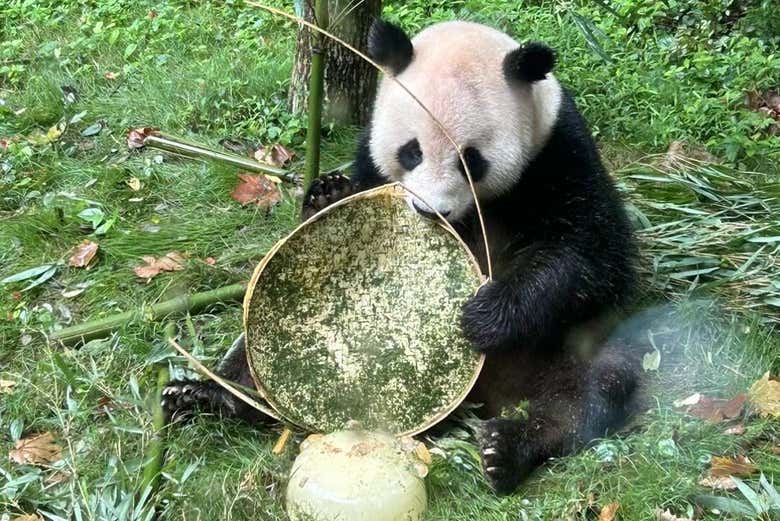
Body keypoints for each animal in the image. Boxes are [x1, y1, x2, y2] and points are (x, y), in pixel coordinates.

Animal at [163, 19, 641, 494]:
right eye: (412, 150)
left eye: (471, 160)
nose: (431, 211)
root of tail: (488, 396)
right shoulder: (371, 155)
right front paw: (326, 194)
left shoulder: (558, 153)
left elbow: (589, 251)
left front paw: (484, 317)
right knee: (249, 356)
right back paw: (208, 396)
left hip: (572, 345)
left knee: (590, 389)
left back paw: (508, 448)